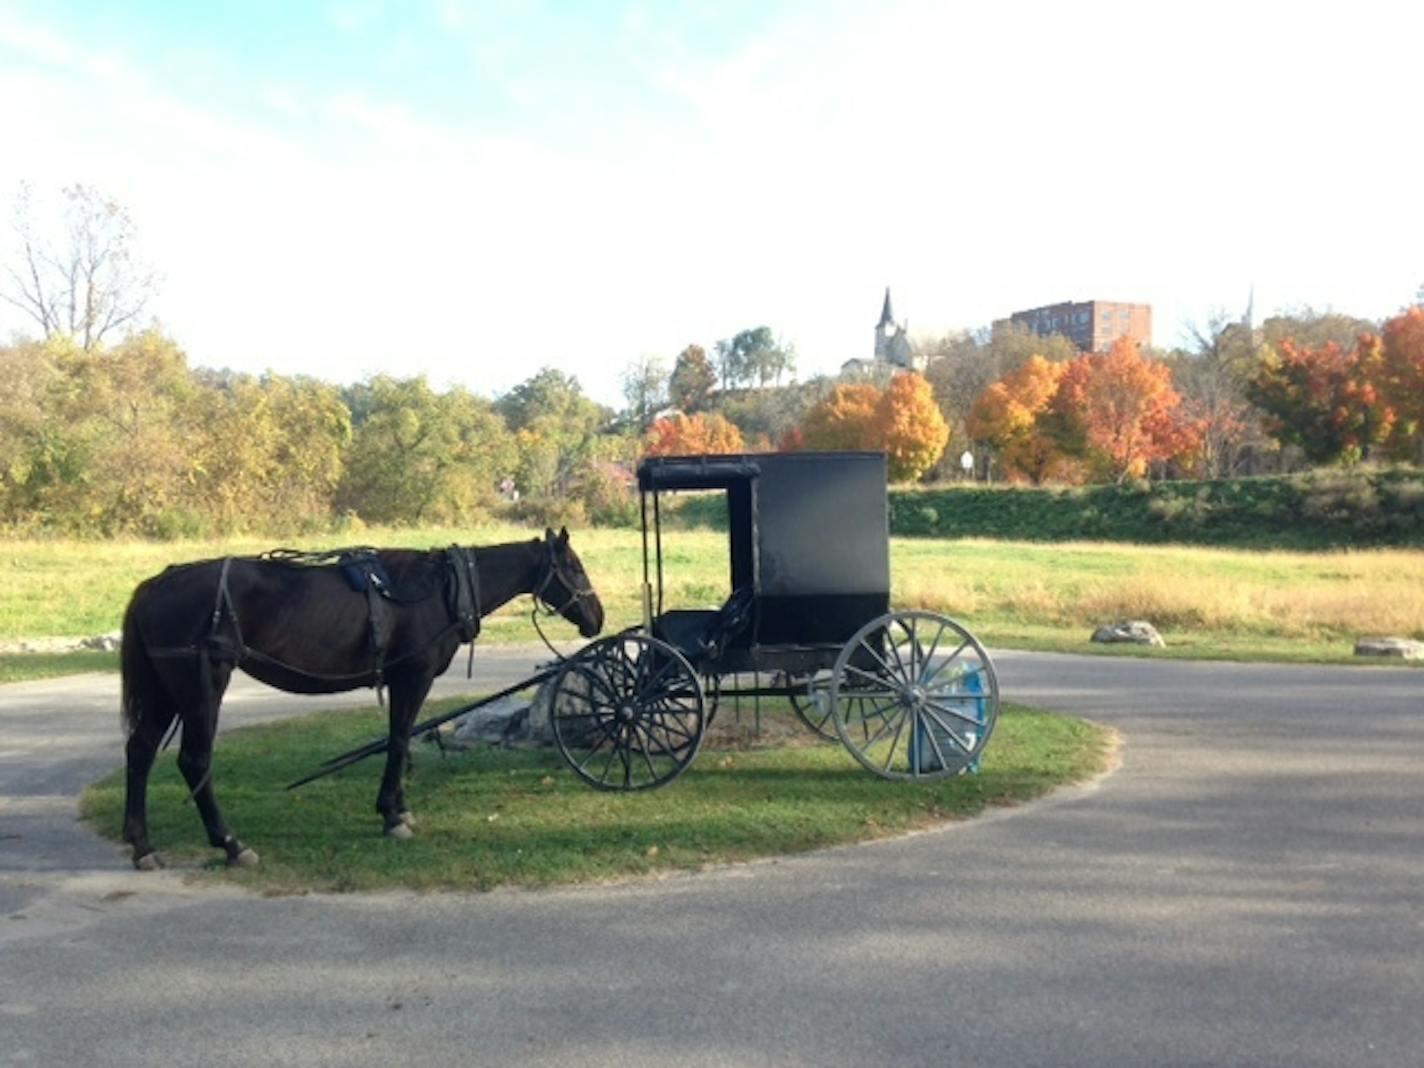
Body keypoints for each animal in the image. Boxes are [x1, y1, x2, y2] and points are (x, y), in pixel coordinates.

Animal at [123, 532, 606, 871]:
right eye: (575, 568)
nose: (597, 618)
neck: (439, 591)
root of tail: (155, 586)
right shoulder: (412, 677)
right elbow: (399, 740)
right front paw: (392, 816)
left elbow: (400, 739)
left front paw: (399, 809)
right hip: (201, 686)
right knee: (194, 761)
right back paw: (230, 843)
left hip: (165, 690)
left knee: (141, 752)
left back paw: (142, 845)